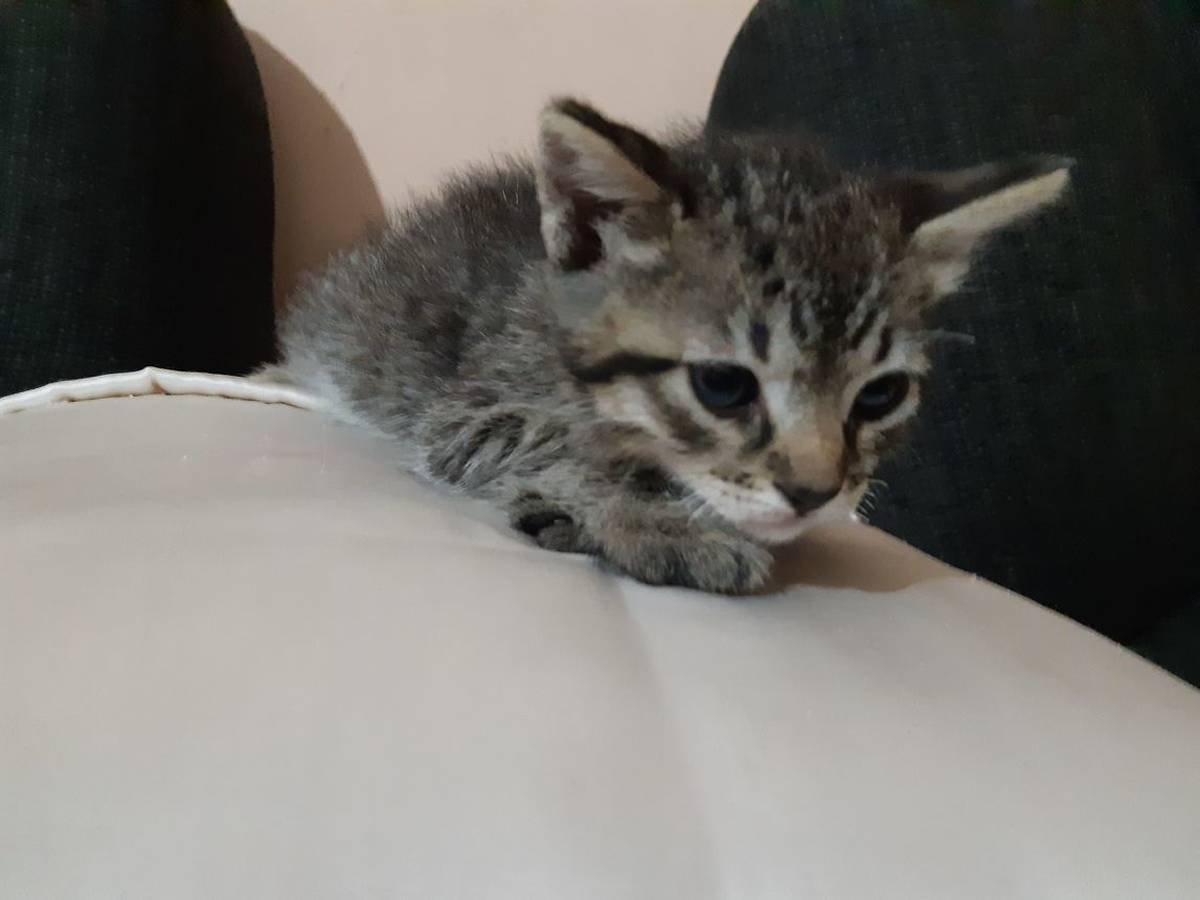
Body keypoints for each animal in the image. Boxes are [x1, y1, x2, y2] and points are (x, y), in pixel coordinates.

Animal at [271, 98, 1070, 594]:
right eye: (723, 385)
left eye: (879, 395)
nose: (815, 494)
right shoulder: (465, 409)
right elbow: (554, 448)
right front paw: (656, 521)